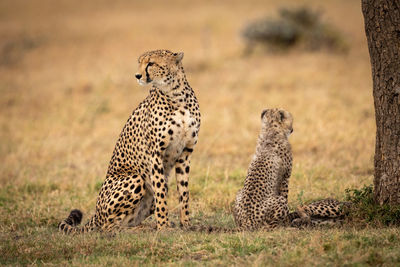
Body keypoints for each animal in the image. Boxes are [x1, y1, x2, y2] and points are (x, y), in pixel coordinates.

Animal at [59, 50, 200, 234]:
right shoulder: (156, 154)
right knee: (108, 227)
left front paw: (187, 224)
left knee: (127, 220)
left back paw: (144, 226)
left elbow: (184, 193)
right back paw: (140, 229)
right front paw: (163, 227)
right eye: (140, 62)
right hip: (136, 178)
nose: (137, 75)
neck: (176, 95)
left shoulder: (185, 153)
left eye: (151, 63)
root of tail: (96, 214)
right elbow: (161, 195)